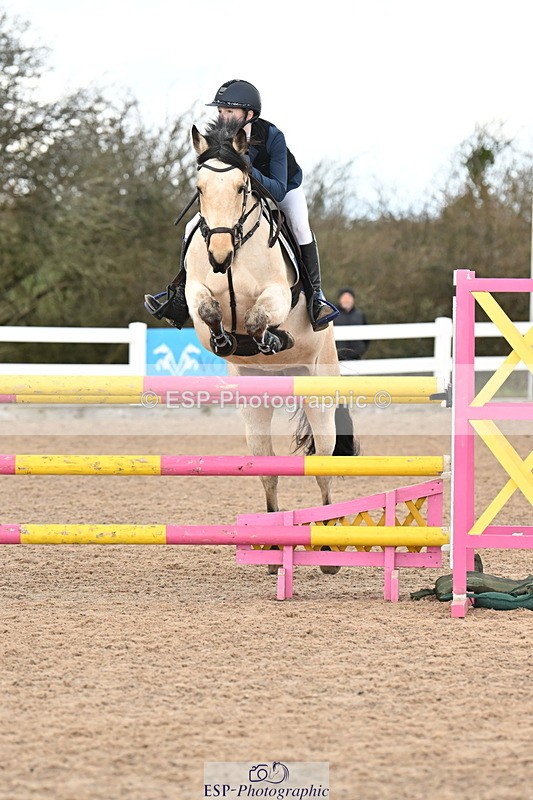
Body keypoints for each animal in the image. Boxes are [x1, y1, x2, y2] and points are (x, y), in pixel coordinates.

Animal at [185, 118, 357, 515]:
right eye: (199, 189)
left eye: (241, 187)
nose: (219, 256)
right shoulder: (194, 291)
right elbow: (207, 309)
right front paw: (223, 339)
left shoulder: (277, 294)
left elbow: (257, 318)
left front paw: (272, 339)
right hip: (255, 402)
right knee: (267, 468)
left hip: (318, 392)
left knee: (323, 468)